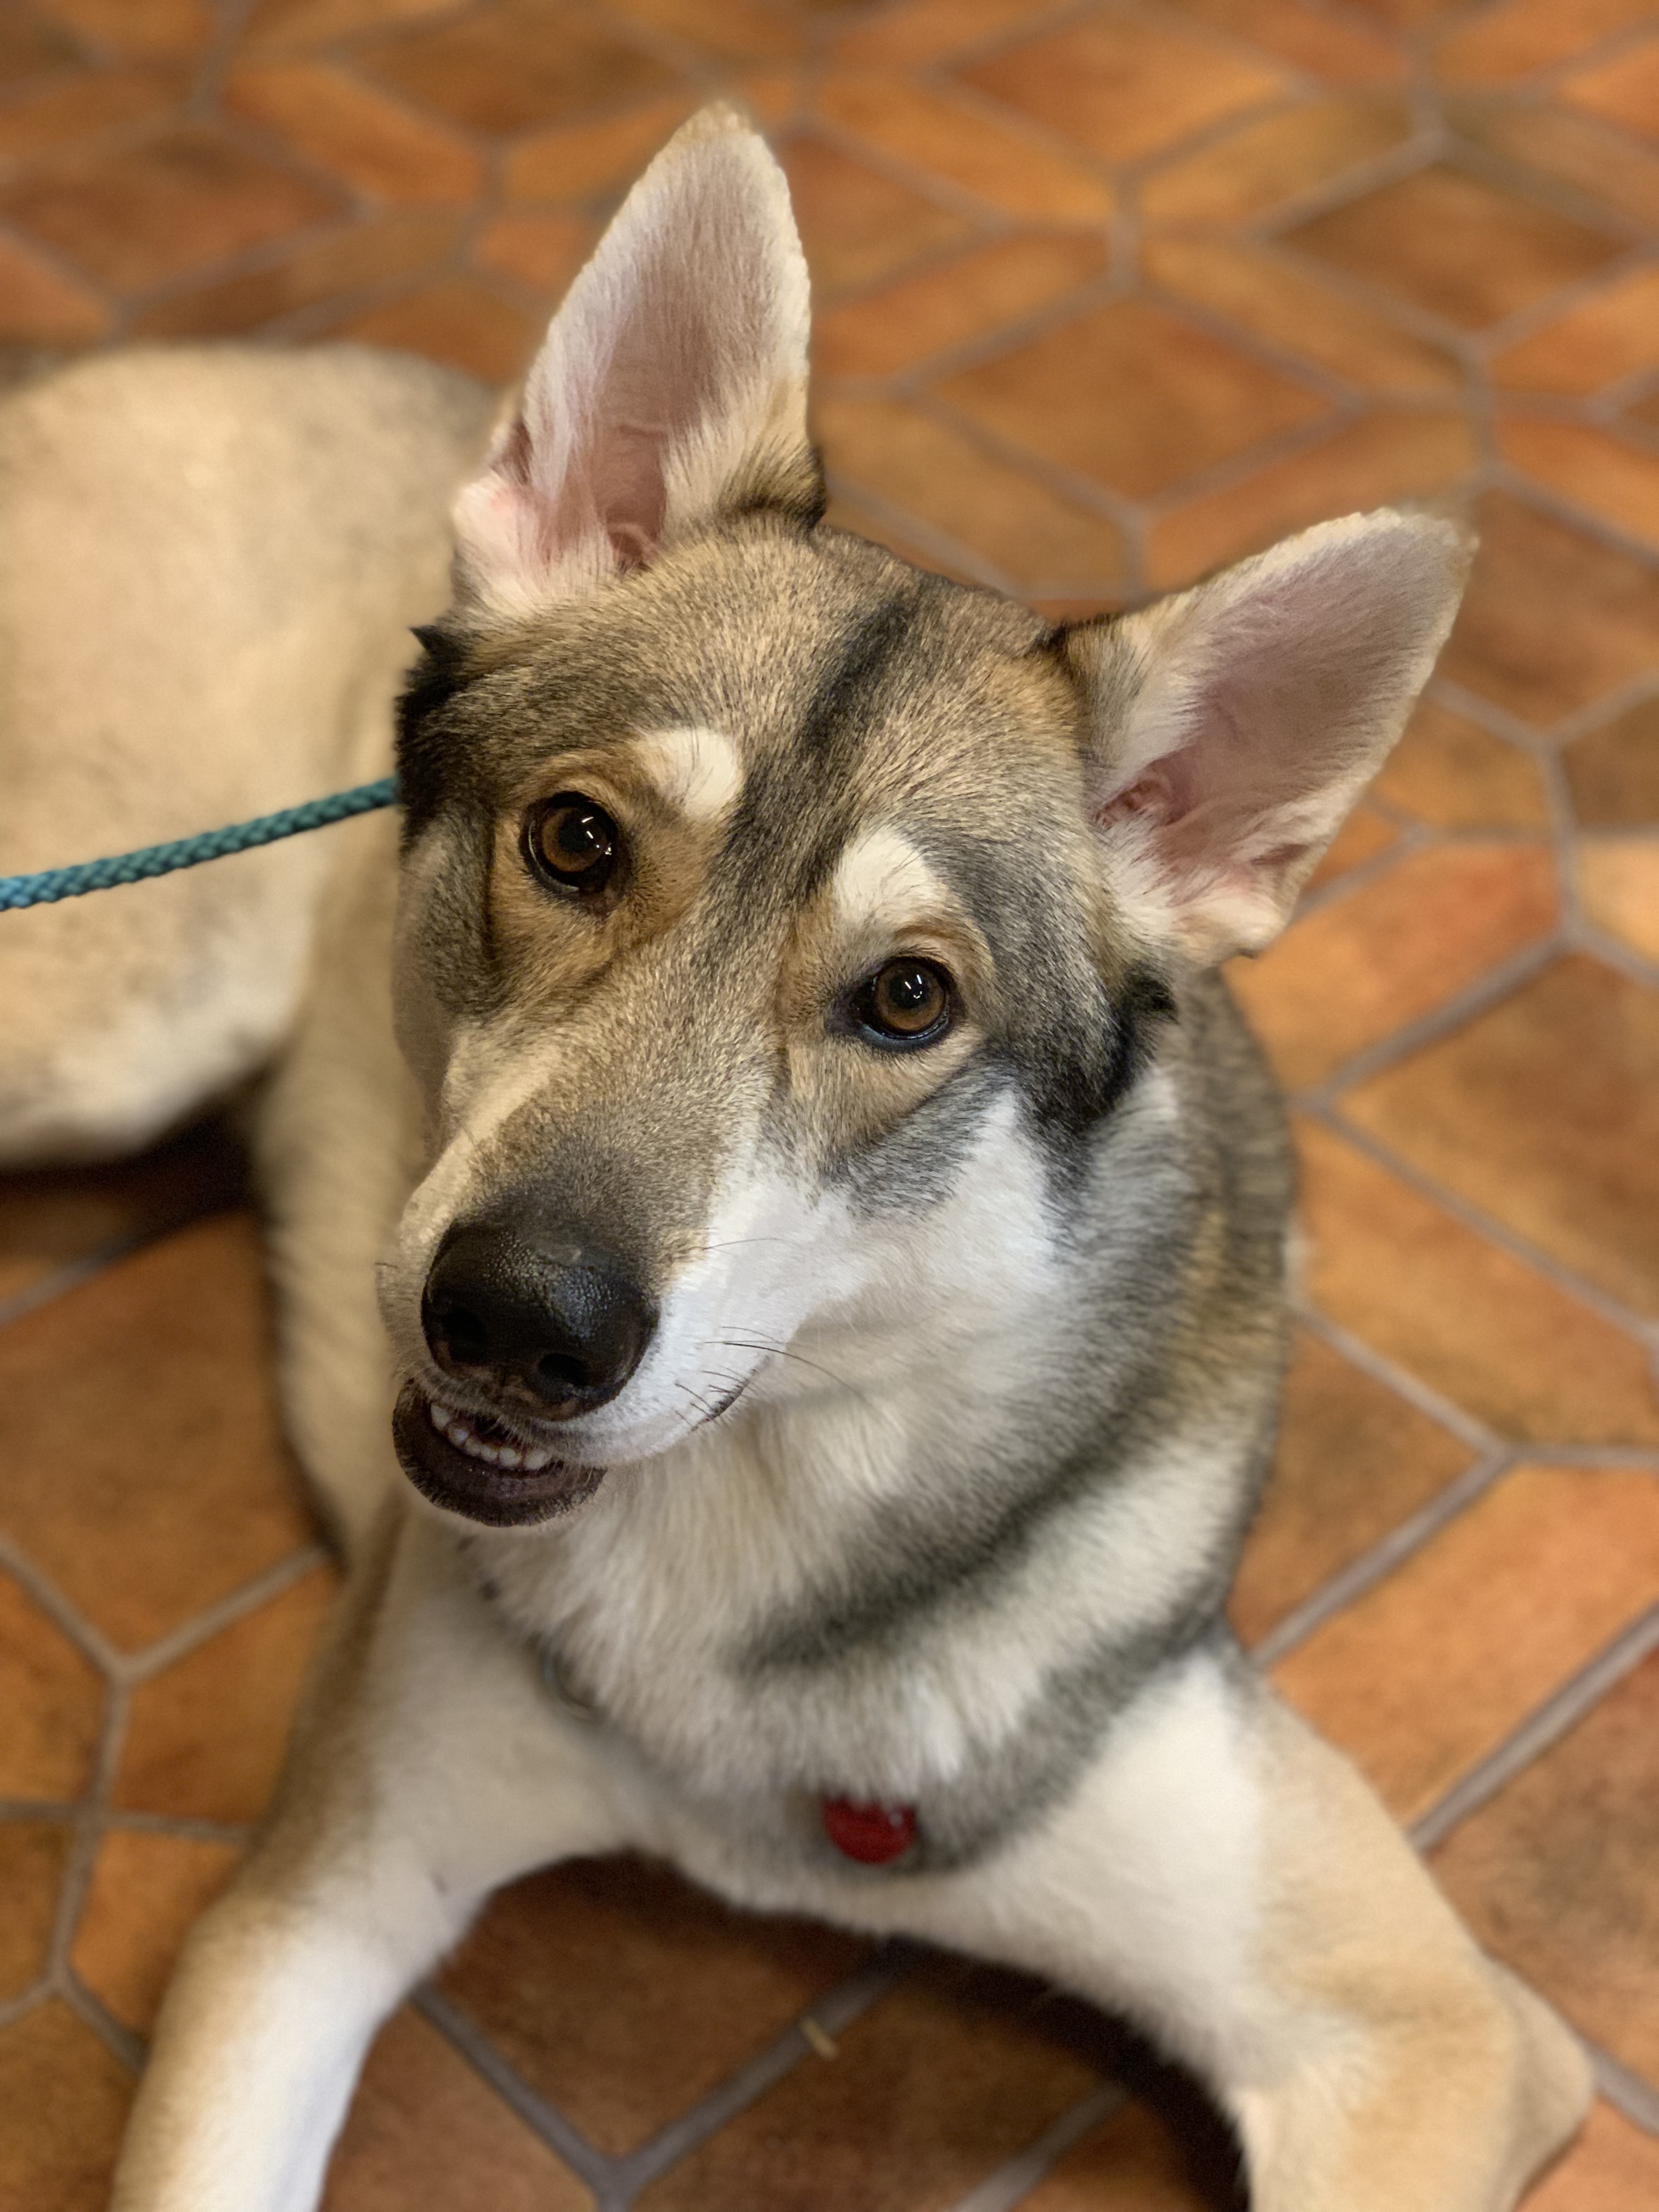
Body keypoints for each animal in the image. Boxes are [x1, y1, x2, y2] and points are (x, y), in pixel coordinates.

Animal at [0, 106, 1591, 2212]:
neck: (758, 1507)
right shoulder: (298, 1918)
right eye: (575, 843)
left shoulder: (1432, 2033)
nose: (517, 1322)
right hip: (107, 1010)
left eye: (909, 1000)